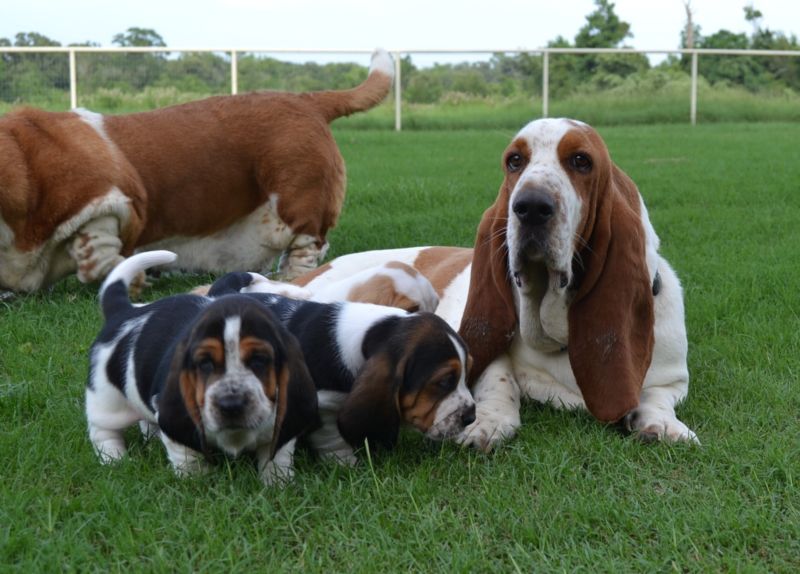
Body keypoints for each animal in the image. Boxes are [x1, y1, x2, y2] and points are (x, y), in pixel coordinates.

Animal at [0, 49, 394, 292]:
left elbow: (97, 249)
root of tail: (307, 100)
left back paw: (289, 276)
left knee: (307, 245)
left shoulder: (107, 202)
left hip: (295, 196)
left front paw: (131, 278)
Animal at [83, 252, 316, 486]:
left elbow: (276, 457)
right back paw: (115, 459)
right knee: (103, 431)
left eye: (260, 361)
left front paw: (277, 484)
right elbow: (189, 458)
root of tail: (125, 312)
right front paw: (196, 483)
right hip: (106, 400)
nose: (231, 404)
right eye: (205, 365)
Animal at [206, 272, 478, 466]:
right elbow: (333, 437)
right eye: (444, 381)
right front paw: (347, 463)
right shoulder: (322, 404)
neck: (368, 334)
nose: (471, 418)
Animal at [290, 119, 696, 452]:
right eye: (514, 161)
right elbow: (497, 375)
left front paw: (662, 423)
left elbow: (656, 396)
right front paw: (489, 420)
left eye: (581, 161)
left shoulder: (674, 378)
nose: (530, 206)